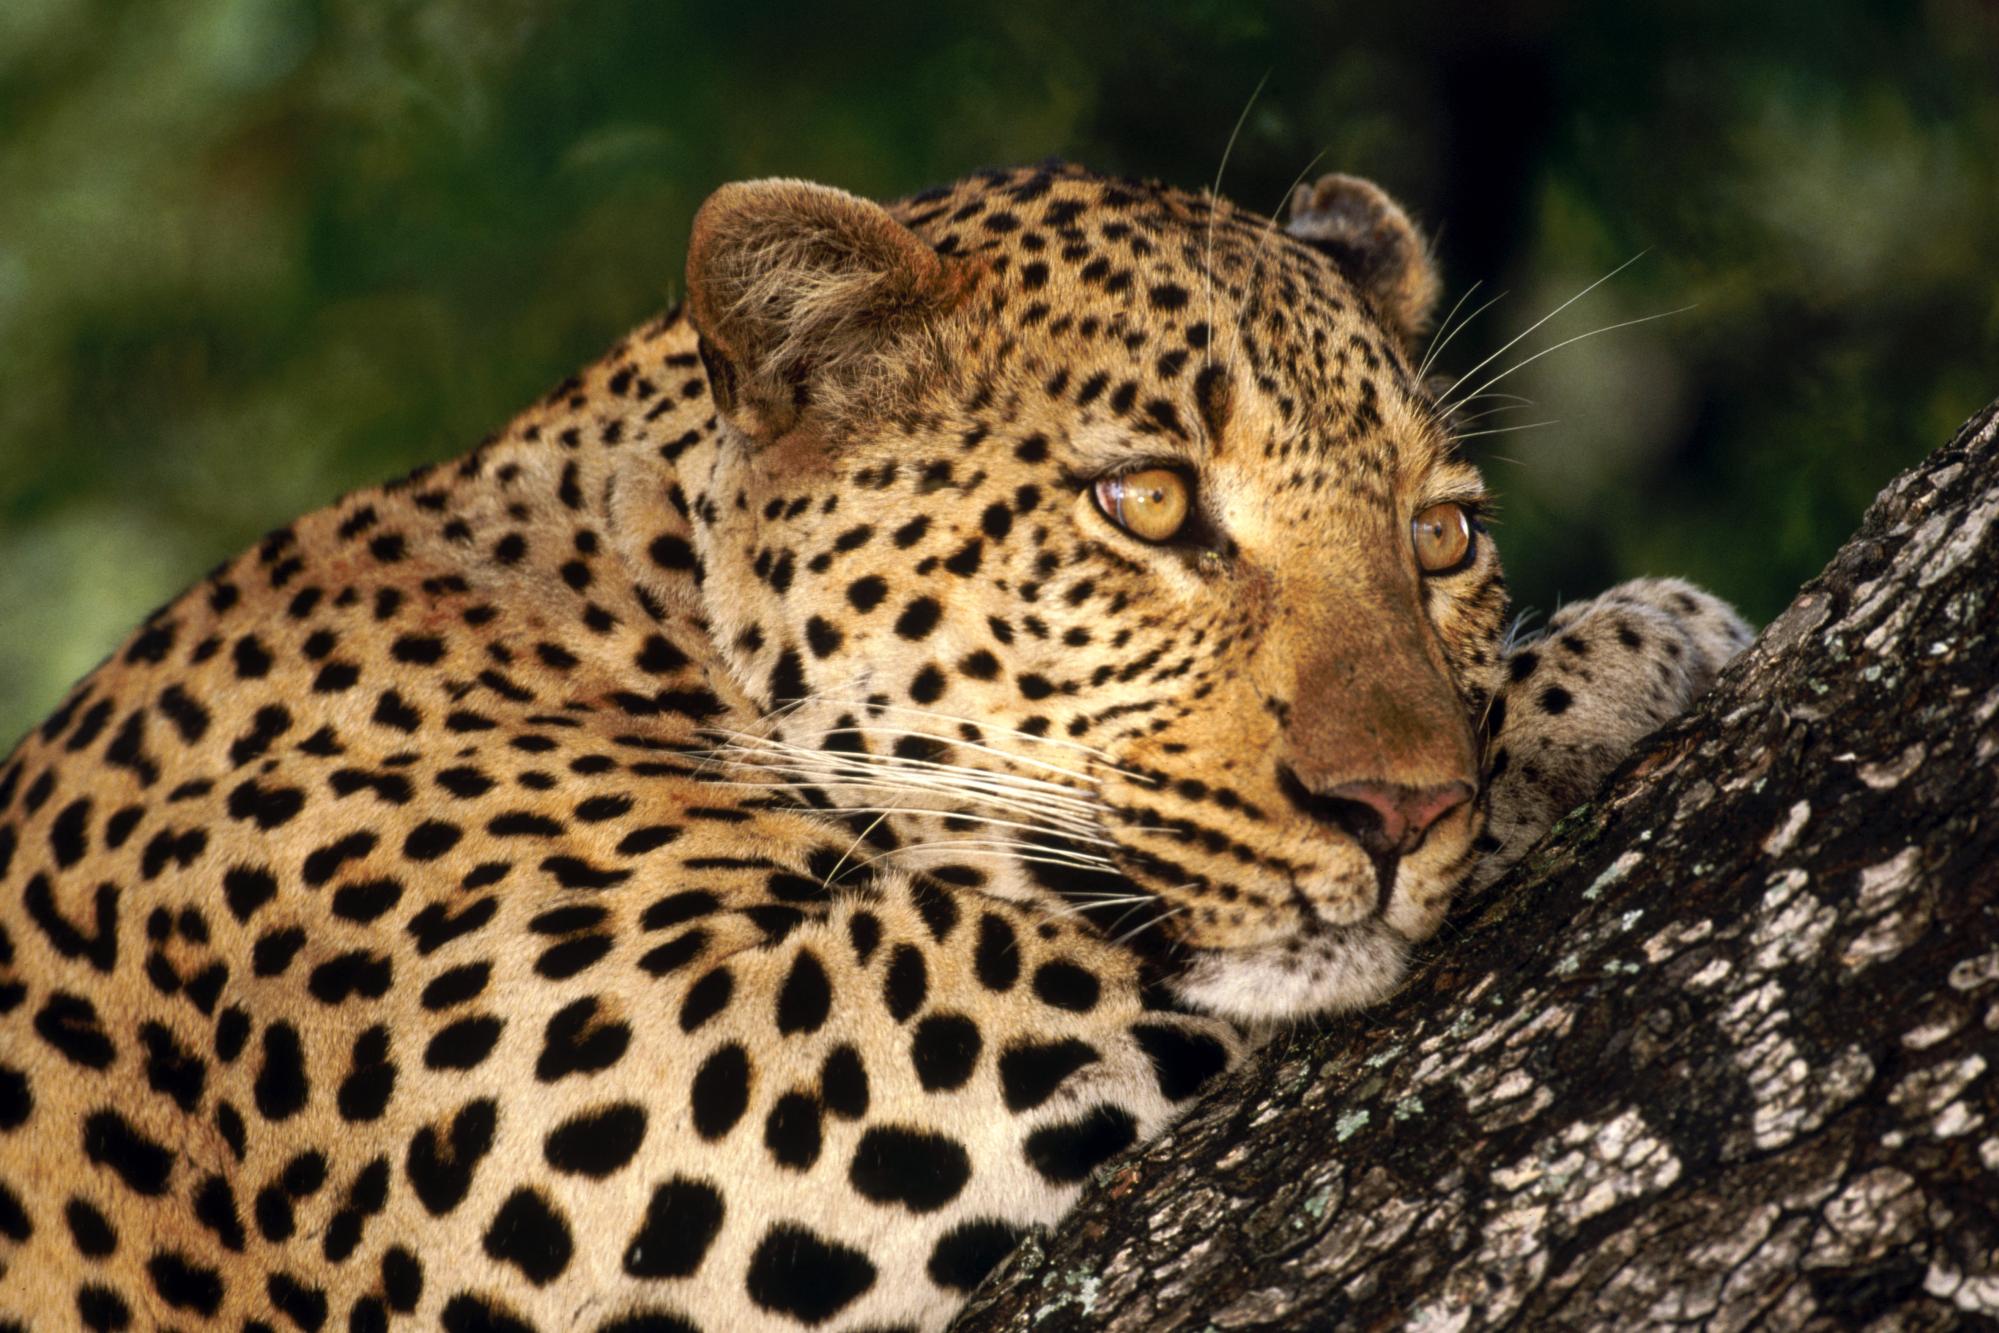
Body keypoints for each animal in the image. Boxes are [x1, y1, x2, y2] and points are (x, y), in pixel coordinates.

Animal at [0, 161, 1751, 1332]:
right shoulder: (643, 1085)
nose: (1400, 805)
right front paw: (1624, 650)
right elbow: (1048, 931)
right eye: (1145, 502)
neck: (625, 590)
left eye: (1440, 535)